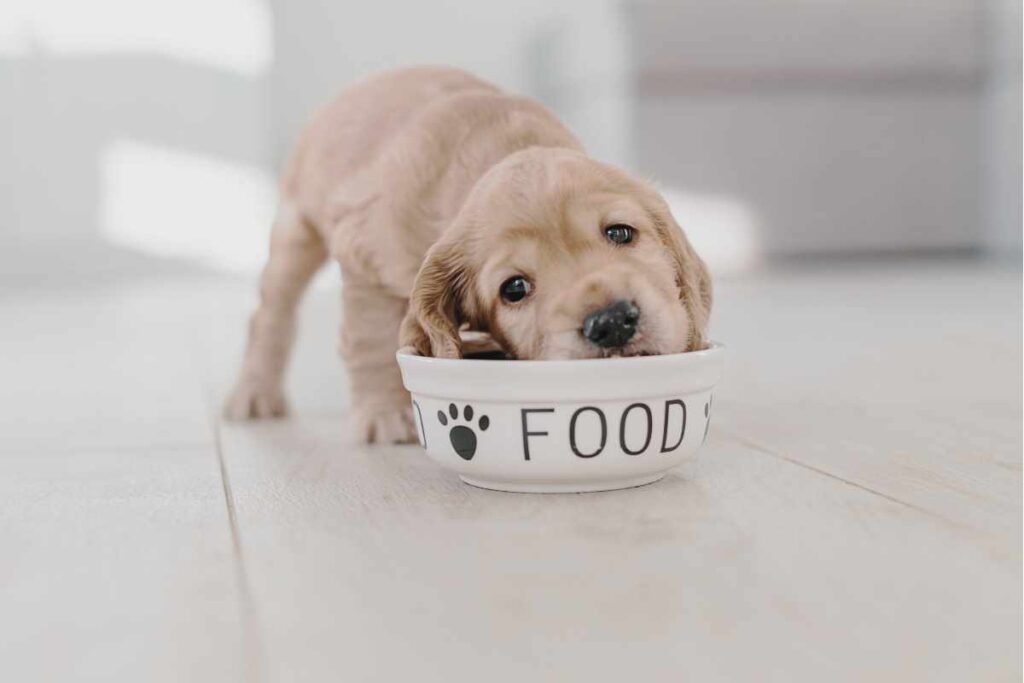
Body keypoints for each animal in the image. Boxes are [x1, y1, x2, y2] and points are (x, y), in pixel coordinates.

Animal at [222, 66, 712, 446]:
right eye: (514, 288)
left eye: (620, 232)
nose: (611, 322)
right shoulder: (364, 259)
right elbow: (371, 339)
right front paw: (383, 414)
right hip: (296, 232)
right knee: (270, 314)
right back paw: (255, 393)